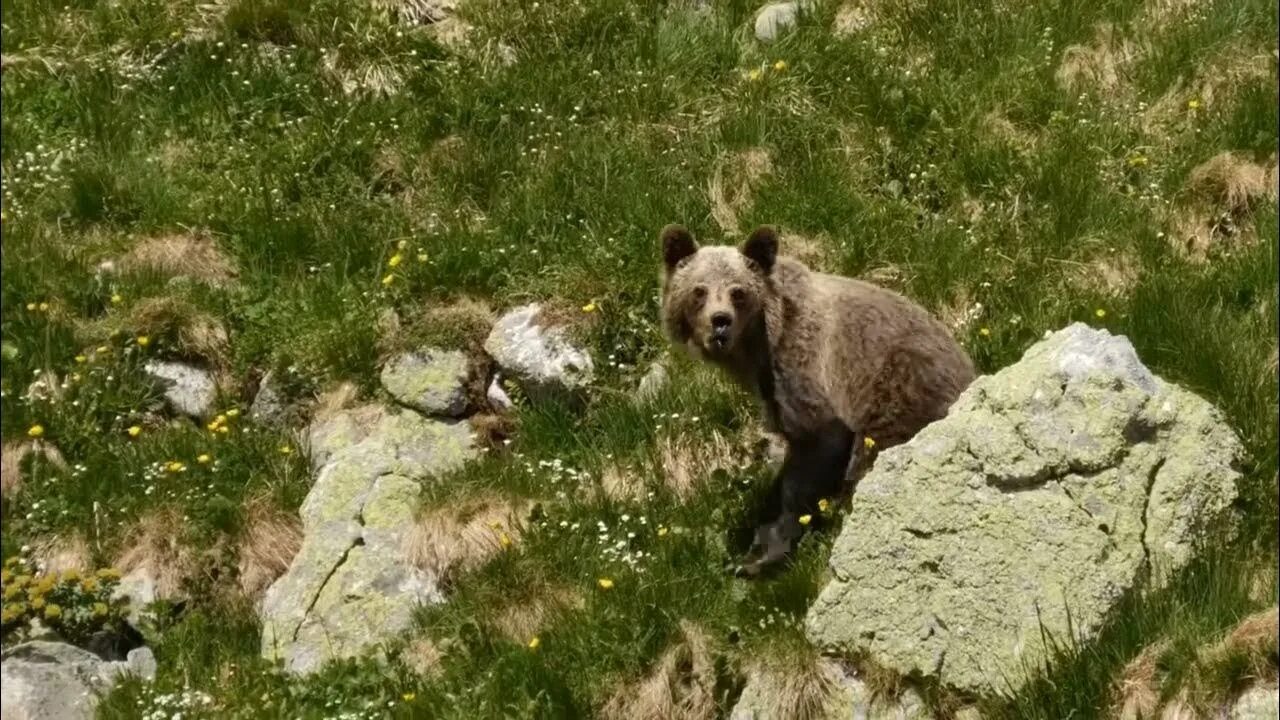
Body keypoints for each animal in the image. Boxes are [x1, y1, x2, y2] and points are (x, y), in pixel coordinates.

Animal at [655, 222, 972, 571]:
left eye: (738, 292)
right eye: (699, 290)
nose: (720, 322)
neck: (758, 348)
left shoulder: (805, 366)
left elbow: (814, 447)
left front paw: (766, 550)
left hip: (903, 382)